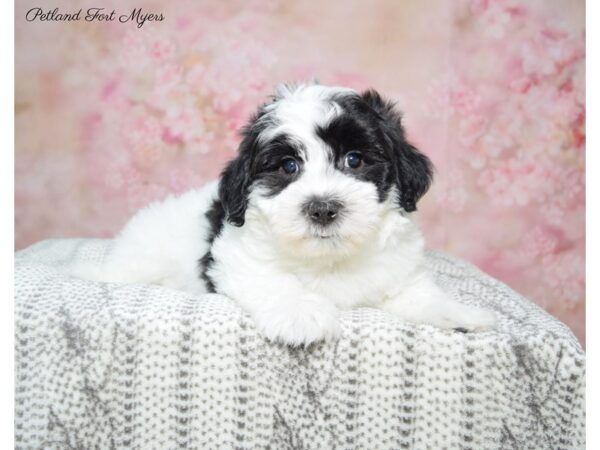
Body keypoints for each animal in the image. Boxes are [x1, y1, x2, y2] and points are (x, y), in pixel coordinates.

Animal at [74, 83, 496, 344]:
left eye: (354, 160)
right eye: (288, 166)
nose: (322, 208)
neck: (329, 259)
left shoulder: (398, 271)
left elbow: (420, 295)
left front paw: (459, 312)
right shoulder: (236, 257)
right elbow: (274, 280)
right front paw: (301, 314)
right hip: (142, 259)